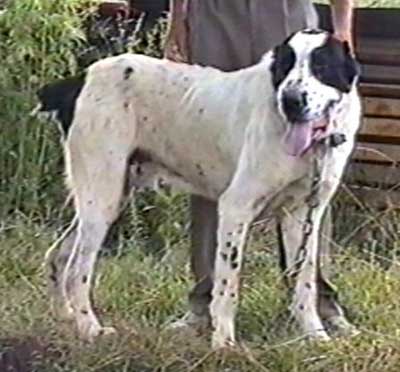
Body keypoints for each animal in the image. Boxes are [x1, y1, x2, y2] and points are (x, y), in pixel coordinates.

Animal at [36, 29, 362, 348]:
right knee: (77, 270)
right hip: (102, 195)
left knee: (57, 255)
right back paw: (90, 328)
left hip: (107, 199)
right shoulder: (235, 207)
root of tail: (80, 79)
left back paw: (66, 316)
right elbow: (227, 284)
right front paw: (224, 343)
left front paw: (315, 335)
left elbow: (304, 282)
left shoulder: (302, 214)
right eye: (285, 66)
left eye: (321, 67)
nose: (291, 101)